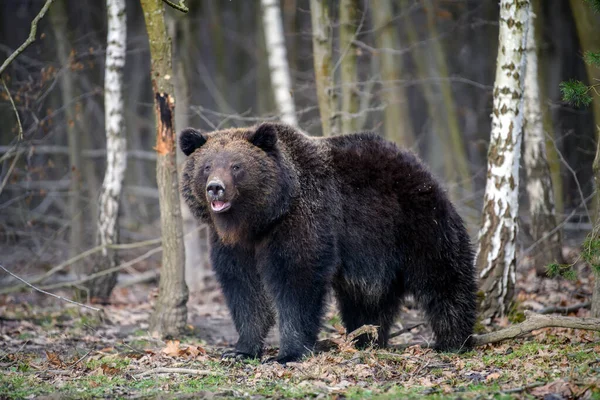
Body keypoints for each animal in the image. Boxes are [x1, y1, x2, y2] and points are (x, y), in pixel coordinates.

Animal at [180, 122, 476, 362]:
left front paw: (288, 353)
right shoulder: (234, 245)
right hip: (373, 253)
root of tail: (416, 162)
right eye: (206, 166)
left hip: (416, 222)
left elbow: (296, 281)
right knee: (367, 298)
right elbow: (245, 289)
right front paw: (240, 350)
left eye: (236, 166)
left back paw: (453, 340)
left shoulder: (300, 222)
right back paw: (366, 338)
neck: (258, 221)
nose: (215, 187)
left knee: (444, 277)